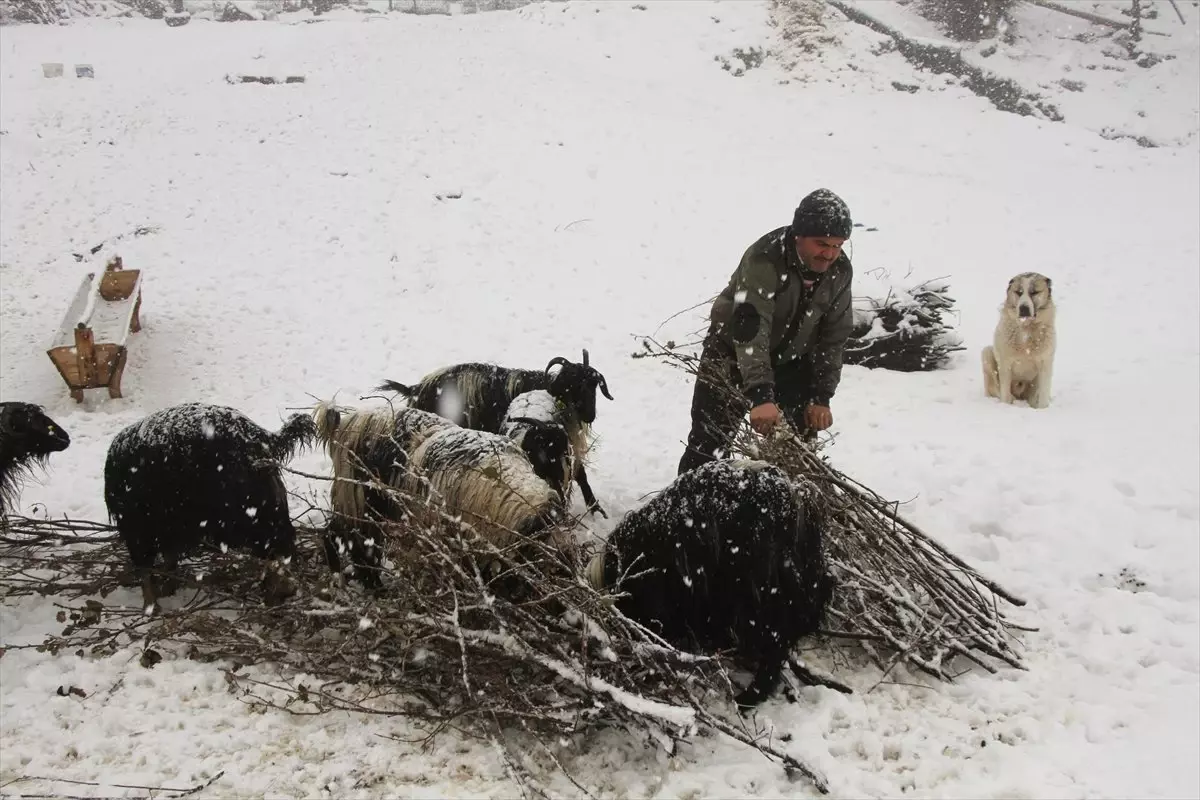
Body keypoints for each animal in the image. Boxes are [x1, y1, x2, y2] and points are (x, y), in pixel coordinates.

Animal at [376, 347, 619, 515]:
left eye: (594, 385)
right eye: (572, 384)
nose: (590, 415)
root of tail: (416, 389)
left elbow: (580, 475)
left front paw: (596, 509)